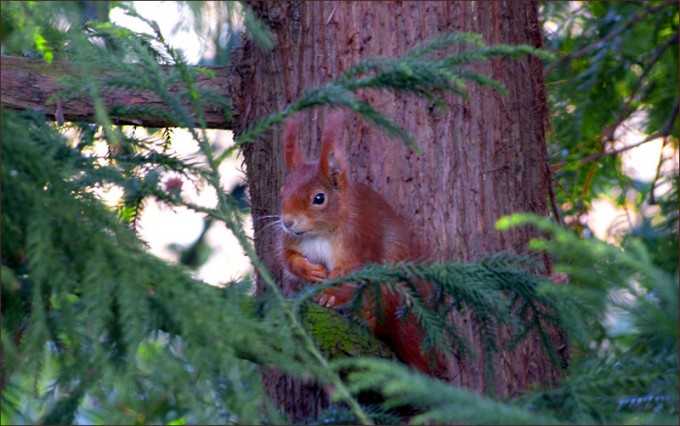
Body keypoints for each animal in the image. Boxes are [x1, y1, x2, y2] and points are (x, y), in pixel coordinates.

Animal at [278, 111, 446, 375]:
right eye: (282, 192)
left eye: (319, 198)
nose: (287, 222)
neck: (319, 233)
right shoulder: (292, 242)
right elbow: (289, 259)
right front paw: (309, 270)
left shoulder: (359, 241)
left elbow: (351, 273)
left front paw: (329, 296)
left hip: (386, 289)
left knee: (384, 323)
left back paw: (363, 318)